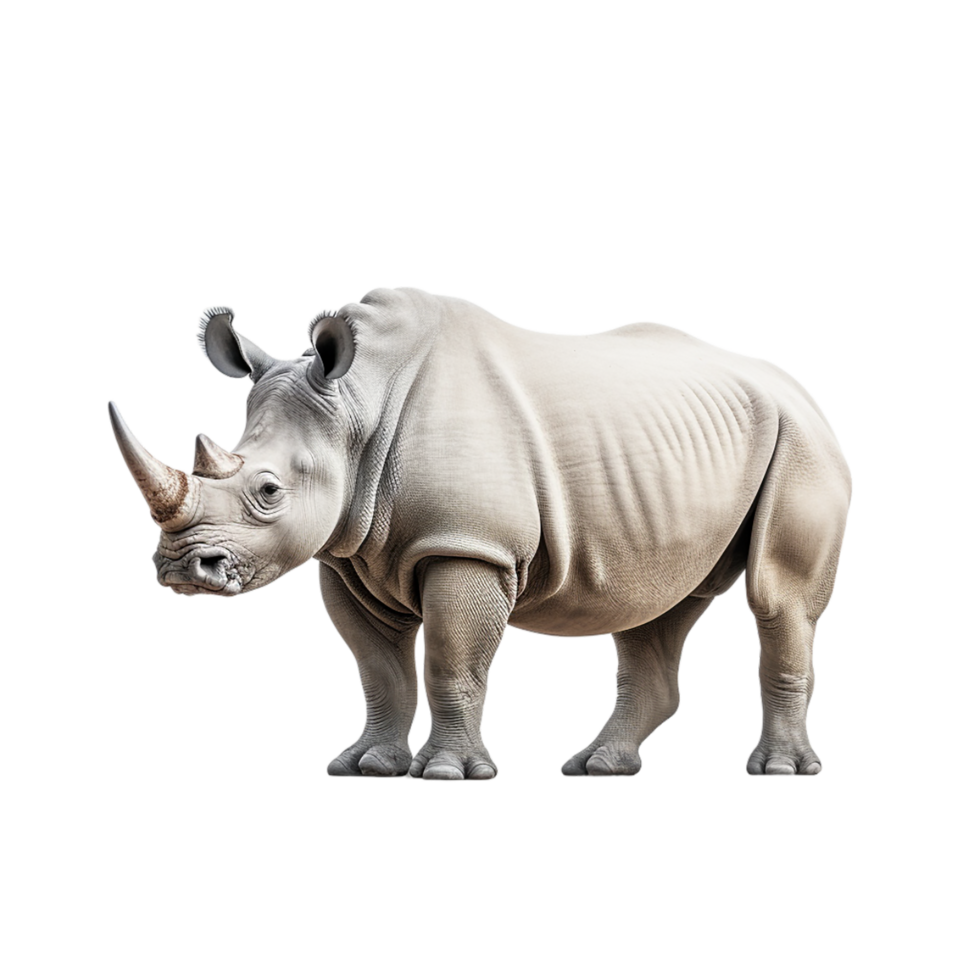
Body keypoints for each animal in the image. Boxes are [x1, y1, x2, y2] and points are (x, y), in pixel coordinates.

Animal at [107, 287, 854, 780]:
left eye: (268, 493)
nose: (181, 569)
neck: (357, 406)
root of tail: (800, 386)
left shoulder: (467, 544)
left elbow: (450, 659)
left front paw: (445, 773)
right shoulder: (347, 554)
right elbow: (377, 668)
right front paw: (365, 764)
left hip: (804, 440)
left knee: (777, 597)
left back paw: (779, 771)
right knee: (657, 608)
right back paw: (597, 766)